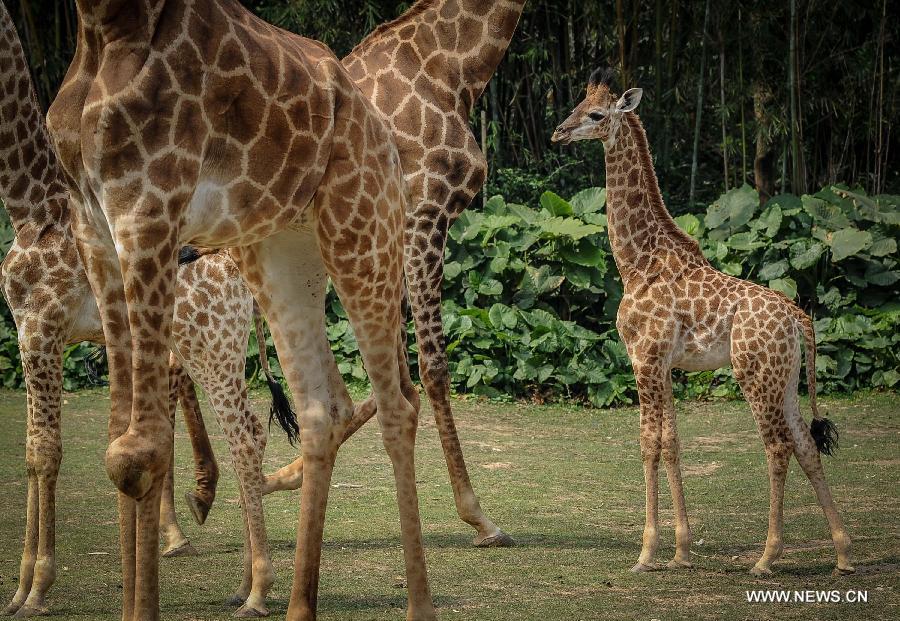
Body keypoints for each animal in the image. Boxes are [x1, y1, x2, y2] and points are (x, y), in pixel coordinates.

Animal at [49, 1, 436, 620]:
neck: (105, 28)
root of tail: (385, 135)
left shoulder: (148, 210)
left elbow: (139, 449)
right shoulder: (94, 224)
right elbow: (117, 439)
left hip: (363, 229)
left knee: (398, 402)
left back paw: (417, 605)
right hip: (280, 251)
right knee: (321, 409)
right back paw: (299, 605)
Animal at [262, 0, 528, 548]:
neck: (453, 68)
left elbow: (396, 379)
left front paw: (284, 475)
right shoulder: (426, 211)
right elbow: (432, 367)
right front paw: (479, 516)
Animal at [552, 69, 856, 576]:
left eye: (594, 114)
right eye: (576, 104)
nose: (559, 132)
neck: (635, 262)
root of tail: (798, 319)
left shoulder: (644, 358)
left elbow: (648, 443)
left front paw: (646, 553)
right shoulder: (665, 364)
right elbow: (673, 442)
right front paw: (680, 551)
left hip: (755, 374)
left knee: (777, 447)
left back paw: (766, 558)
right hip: (787, 378)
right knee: (806, 446)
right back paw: (844, 554)